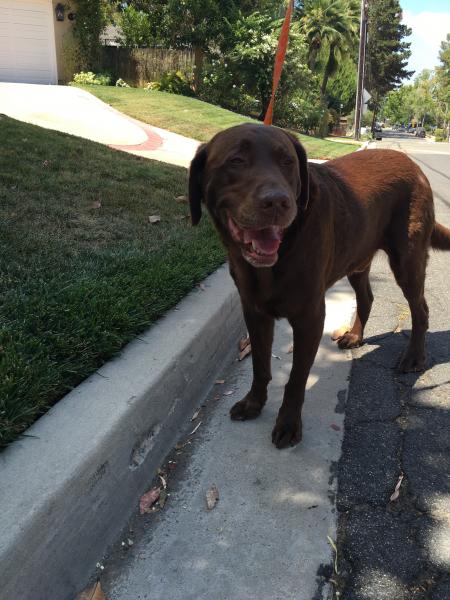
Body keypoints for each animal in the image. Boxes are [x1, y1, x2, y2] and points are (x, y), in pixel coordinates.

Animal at [188, 124, 450, 448]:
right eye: (236, 161)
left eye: (287, 161)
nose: (278, 201)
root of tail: (414, 166)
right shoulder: (254, 311)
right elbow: (260, 364)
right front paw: (253, 403)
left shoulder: (310, 317)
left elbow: (296, 378)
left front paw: (288, 424)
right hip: (357, 260)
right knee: (367, 298)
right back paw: (355, 336)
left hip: (407, 261)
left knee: (420, 309)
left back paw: (413, 356)